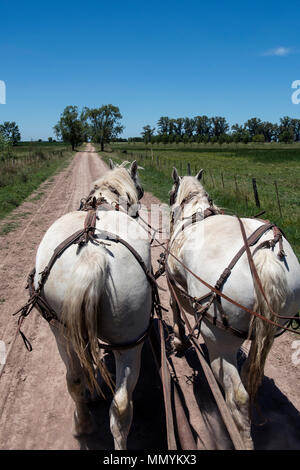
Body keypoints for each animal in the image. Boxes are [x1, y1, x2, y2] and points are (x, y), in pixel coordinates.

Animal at [34, 160, 152, 450]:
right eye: (141, 191)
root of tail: (93, 254)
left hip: (61, 329)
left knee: (74, 379)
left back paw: (83, 423)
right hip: (129, 340)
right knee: (121, 404)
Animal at [166, 168, 300, 448]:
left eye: (171, 194)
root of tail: (266, 256)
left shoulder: (174, 284)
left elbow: (175, 310)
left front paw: (180, 341)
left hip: (219, 338)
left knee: (236, 395)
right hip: (269, 332)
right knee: (250, 378)